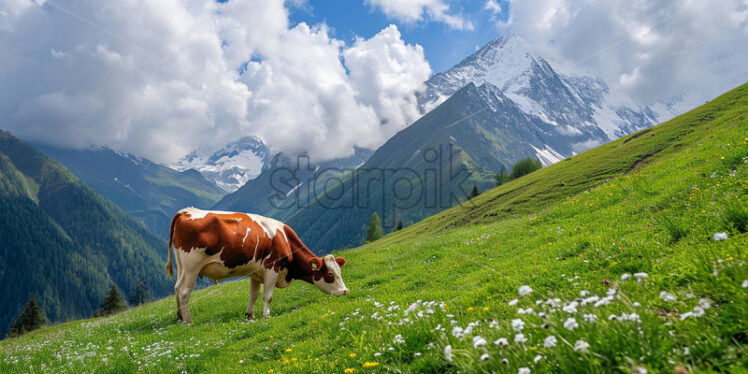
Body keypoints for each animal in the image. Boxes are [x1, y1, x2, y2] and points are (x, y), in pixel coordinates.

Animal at [165, 206, 346, 322]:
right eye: (330, 274)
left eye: (340, 272)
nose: (345, 291)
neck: (285, 240)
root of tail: (187, 211)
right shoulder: (272, 267)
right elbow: (268, 295)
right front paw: (266, 315)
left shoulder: (255, 273)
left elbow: (253, 295)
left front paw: (249, 315)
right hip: (192, 266)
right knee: (184, 291)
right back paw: (188, 320)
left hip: (182, 266)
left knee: (177, 287)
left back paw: (180, 317)